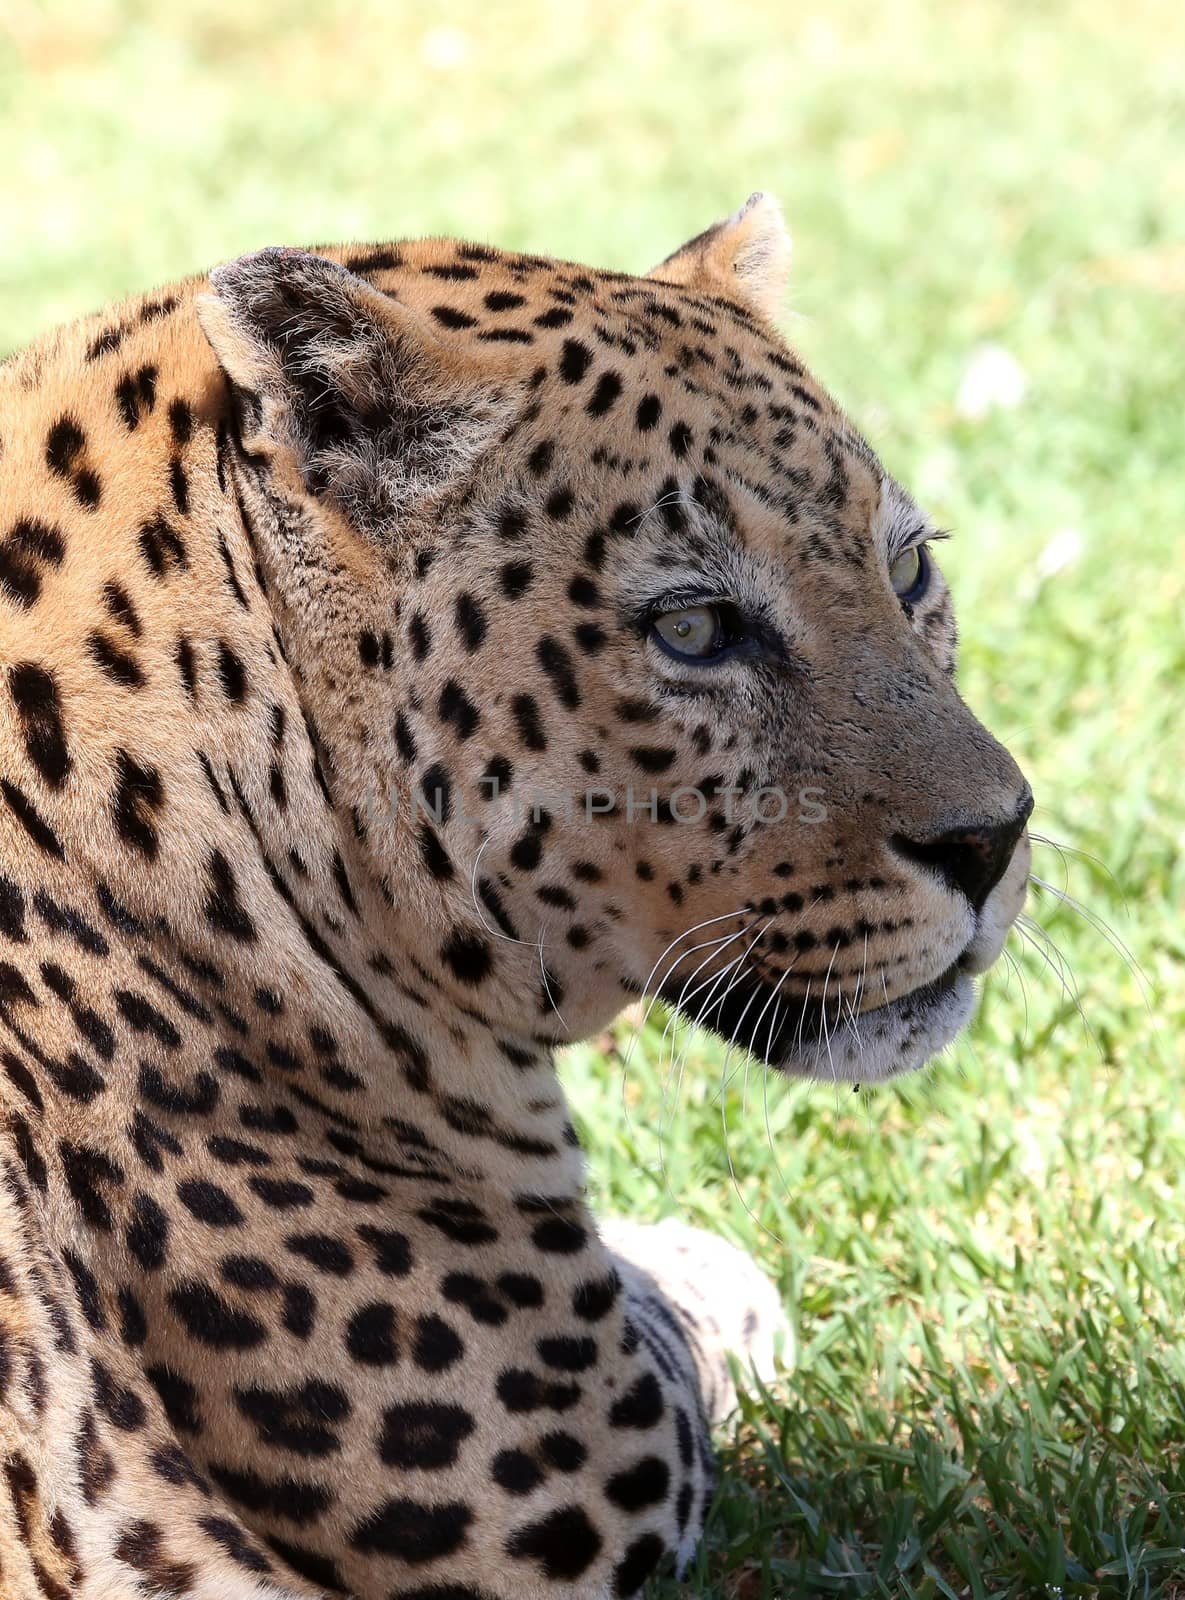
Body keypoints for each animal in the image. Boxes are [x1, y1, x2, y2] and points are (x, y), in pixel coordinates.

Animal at [0, 193, 1023, 1593]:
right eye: (693, 628)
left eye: (910, 568)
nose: (997, 838)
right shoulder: (576, 1463)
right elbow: (689, 1318)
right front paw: (703, 1254)